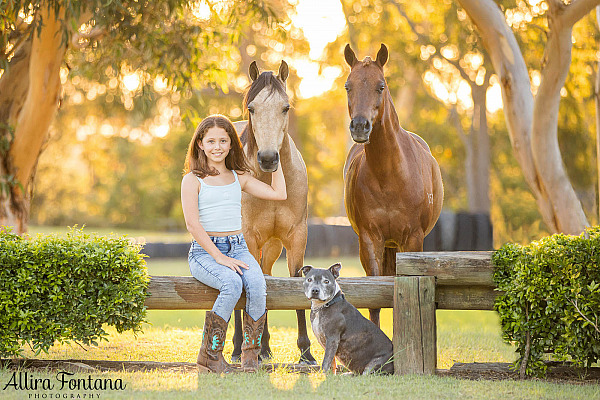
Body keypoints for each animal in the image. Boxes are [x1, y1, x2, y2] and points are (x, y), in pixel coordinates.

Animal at [230, 60, 316, 366]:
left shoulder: (296, 238)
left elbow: (295, 285)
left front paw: (306, 352)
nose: (267, 159)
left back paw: (264, 347)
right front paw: (242, 348)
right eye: (252, 108)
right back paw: (241, 347)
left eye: (285, 107)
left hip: (272, 247)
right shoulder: (249, 238)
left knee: (266, 279)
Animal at [342, 43, 446, 326]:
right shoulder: (370, 239)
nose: (360, 126)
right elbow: (374, 297)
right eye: (348, 86)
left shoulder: (413, 239)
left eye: (381, 86)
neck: (389, 177)